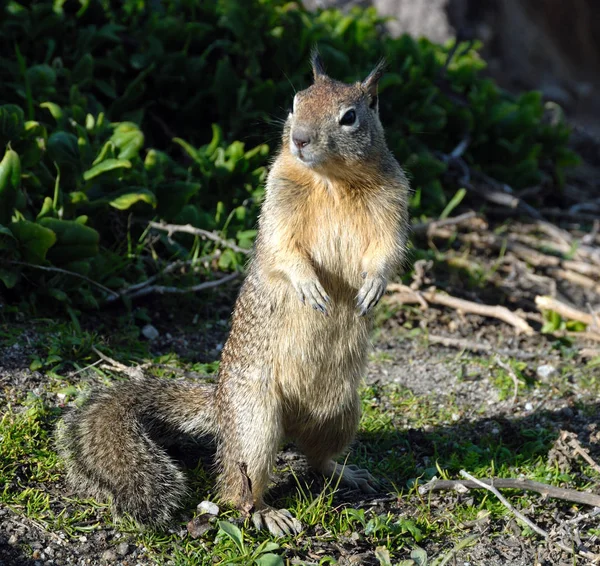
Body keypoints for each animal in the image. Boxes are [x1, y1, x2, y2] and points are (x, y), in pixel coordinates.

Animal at [56, 52, 408, 536]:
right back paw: (265, 512)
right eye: (296, 101)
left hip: (341, 413)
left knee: (316, 457)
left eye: (349, 117)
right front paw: (309, 286)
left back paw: (344, 471)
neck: (330, 181)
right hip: (255, 421)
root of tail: (220, 402)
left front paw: (373, 286)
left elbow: (388, 251)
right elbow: (283, 250)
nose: (298, 139)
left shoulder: (393, 206)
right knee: (234, 484)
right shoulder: (276, 205)